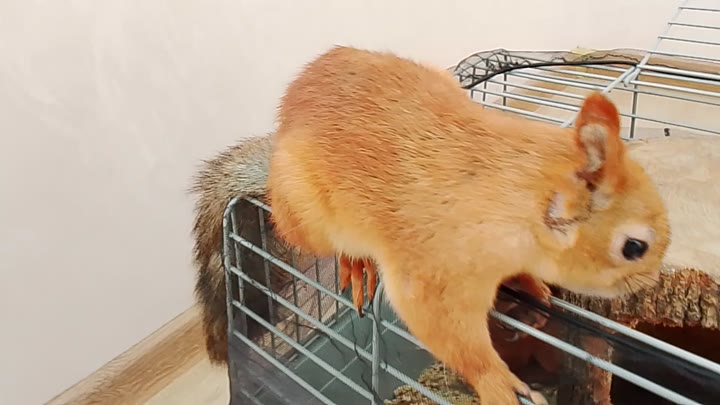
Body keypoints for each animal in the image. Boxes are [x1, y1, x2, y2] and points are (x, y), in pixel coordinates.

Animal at [266, 46, 670, 404]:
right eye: (634, 247)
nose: (650, 282)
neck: (515, 201)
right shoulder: (432, 272)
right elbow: (450, 334)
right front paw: (497, 382)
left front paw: (531, 285)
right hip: (303, 215)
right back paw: (357, 264)